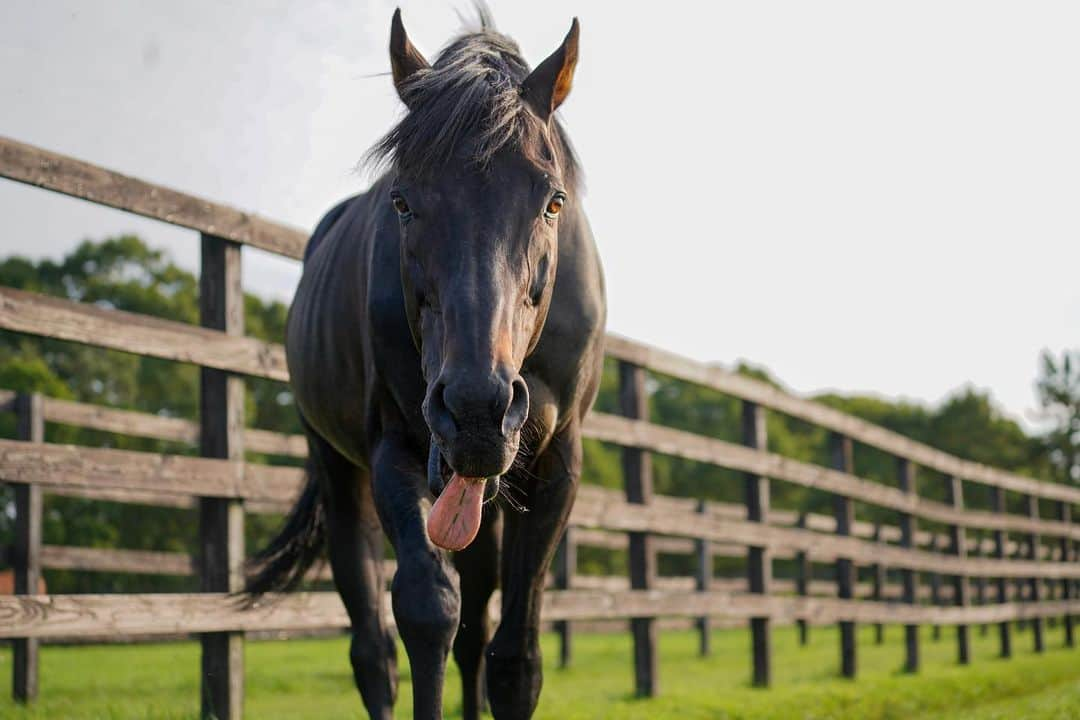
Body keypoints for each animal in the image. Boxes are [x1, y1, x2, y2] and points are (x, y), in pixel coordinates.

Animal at [248, 7, 609, 720]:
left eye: (553, 201)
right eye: (403, 201)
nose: (476, 409)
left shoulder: (558, 461)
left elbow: (513, 657)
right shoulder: (396, 447)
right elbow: (426, 611)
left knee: (476, 627)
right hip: (342, 472)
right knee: (374, 649)